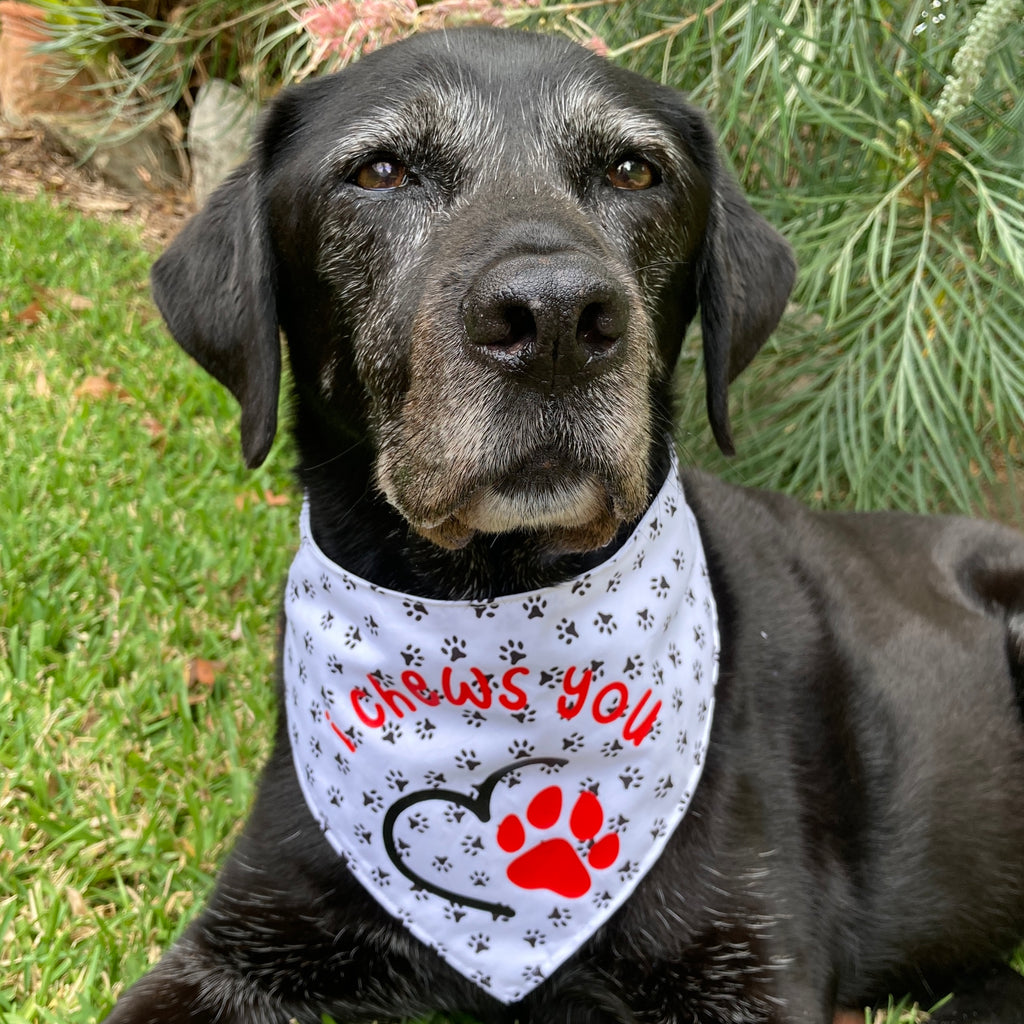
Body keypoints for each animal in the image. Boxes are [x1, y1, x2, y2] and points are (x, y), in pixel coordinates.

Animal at [105, 28, 1024, 1019]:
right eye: (380, 170)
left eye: (633, 170)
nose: (553, 321)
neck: (490, 605)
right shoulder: (247, 936)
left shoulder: (747, 971)